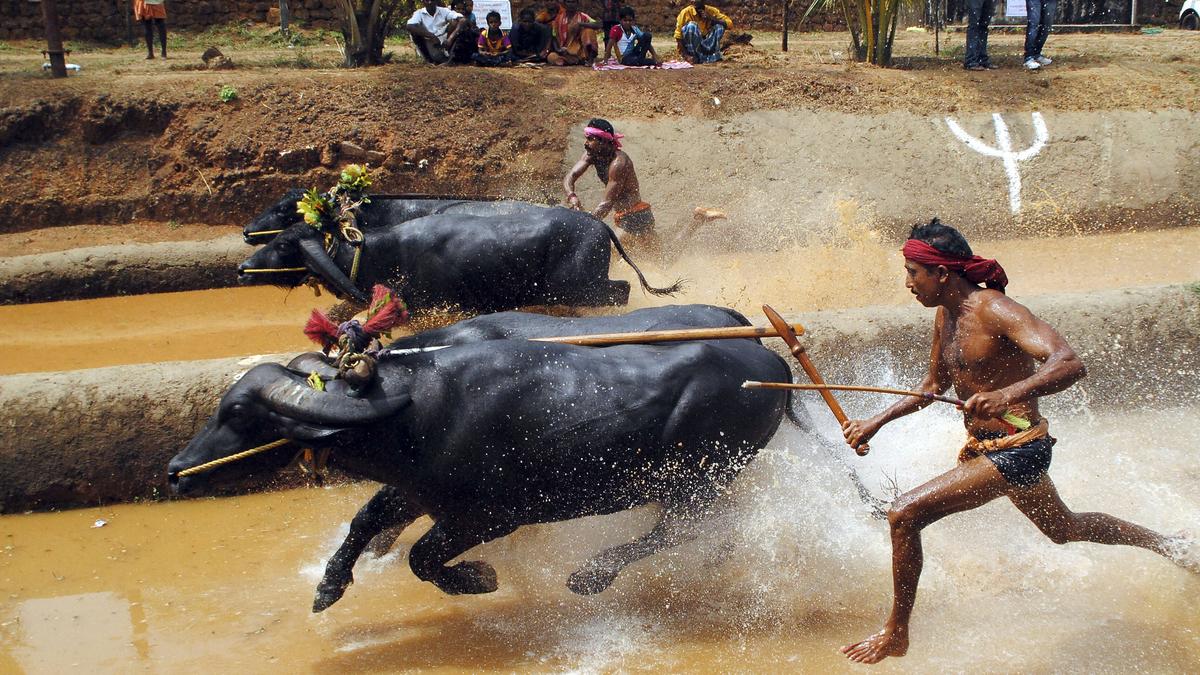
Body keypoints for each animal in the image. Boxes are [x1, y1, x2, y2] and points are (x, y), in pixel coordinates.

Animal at [164, 336, 792, 610]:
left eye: (238, 414)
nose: (175, 472)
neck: (413, 415)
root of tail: (776, 366)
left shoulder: (487, 519)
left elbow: (421, 558)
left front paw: (481, 578)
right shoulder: (416, 494)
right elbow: (365, 519)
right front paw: (328, 585)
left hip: (696, 480)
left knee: (678, 529)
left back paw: (590, 576)